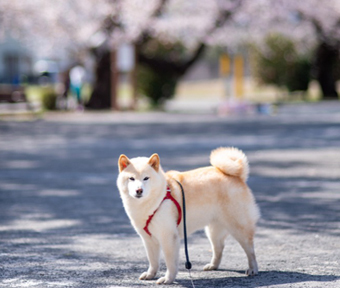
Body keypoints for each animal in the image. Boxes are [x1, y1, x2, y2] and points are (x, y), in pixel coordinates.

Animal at [117, 147, 260, 284]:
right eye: (131, 178)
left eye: (146, 178)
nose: (139, 190)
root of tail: (238, 176)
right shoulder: (148, 239)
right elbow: (153, 261)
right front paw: (150, 274)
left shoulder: (168, 237)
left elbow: (170, 263)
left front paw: (168, 279)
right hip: (213, 230)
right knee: (218, 248)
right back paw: (213, 266)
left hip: (239, 227)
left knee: (250, 251)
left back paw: (253, 269)